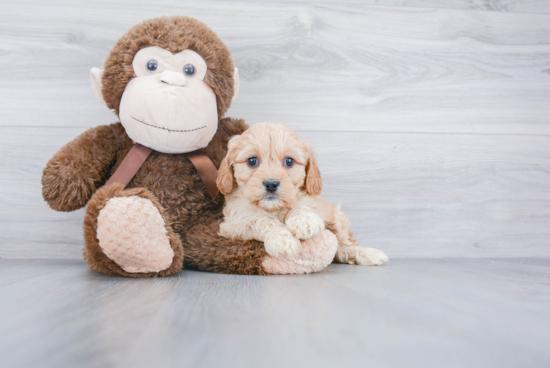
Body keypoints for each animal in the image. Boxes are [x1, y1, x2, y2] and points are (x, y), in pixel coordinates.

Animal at [218, 122, 390, 266]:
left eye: (289, 161)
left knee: (344, 243)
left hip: (337, 217)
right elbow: (260, 220)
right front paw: (283, 241)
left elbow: (305, 203)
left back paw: (368, 254)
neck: (274, 208)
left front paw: (304, 221)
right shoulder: (233, 223)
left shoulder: (319, 205)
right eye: (252, 161)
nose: (271, 184)